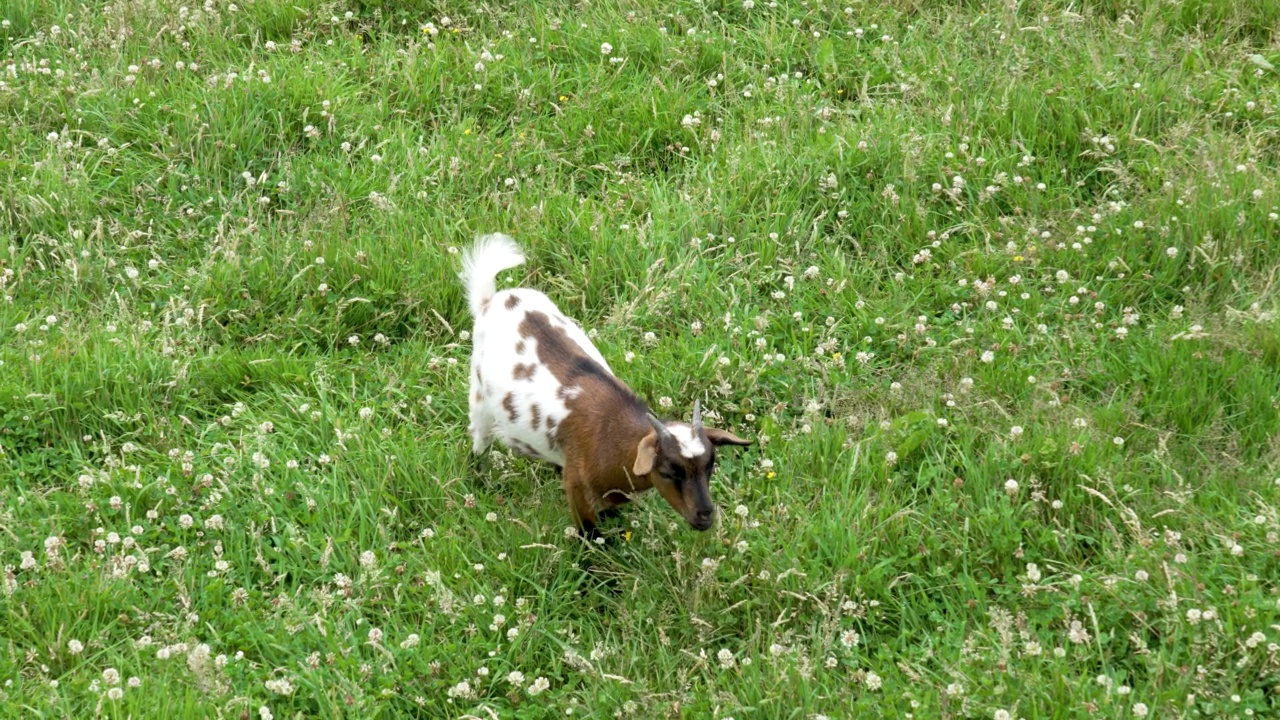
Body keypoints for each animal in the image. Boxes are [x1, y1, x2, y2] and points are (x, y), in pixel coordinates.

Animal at [458, 234, 747, 532]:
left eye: (710, 465)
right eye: (668, 472)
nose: (705, 515)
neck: (612, 432)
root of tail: (495, 300)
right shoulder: (578, 488)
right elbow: (589, 531)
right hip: (479, 397)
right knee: (480, 437)